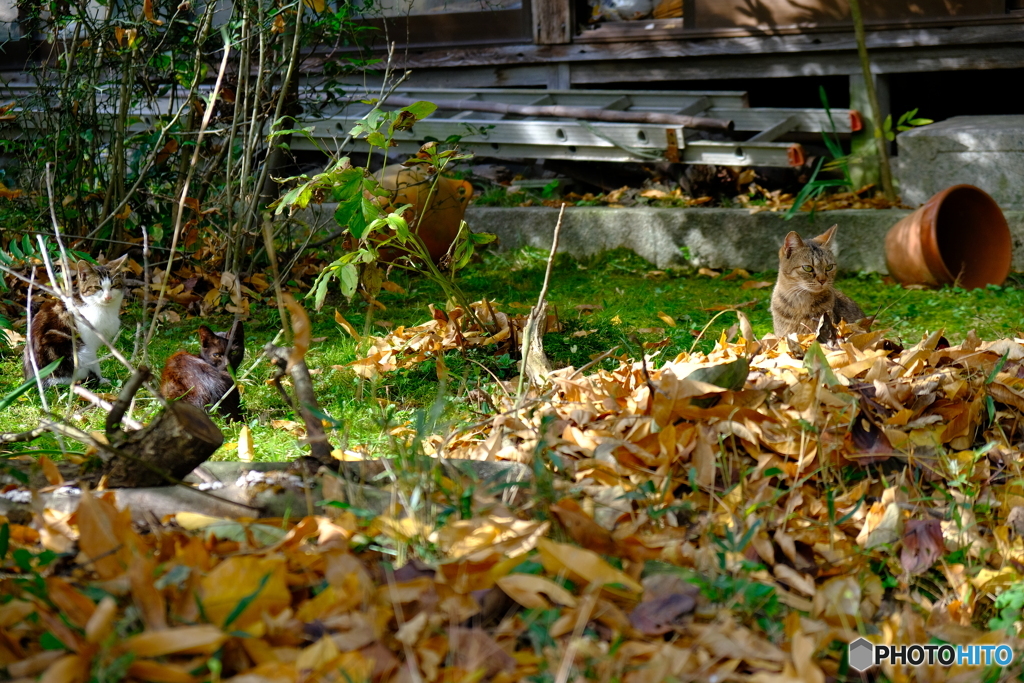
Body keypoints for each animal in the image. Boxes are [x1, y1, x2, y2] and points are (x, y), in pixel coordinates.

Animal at [23, 255, 128, 387]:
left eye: (114, 286)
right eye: (97, 287)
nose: (107, 297)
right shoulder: (89, 343)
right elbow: (95, 364)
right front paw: (102, 380)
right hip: (77, 353)